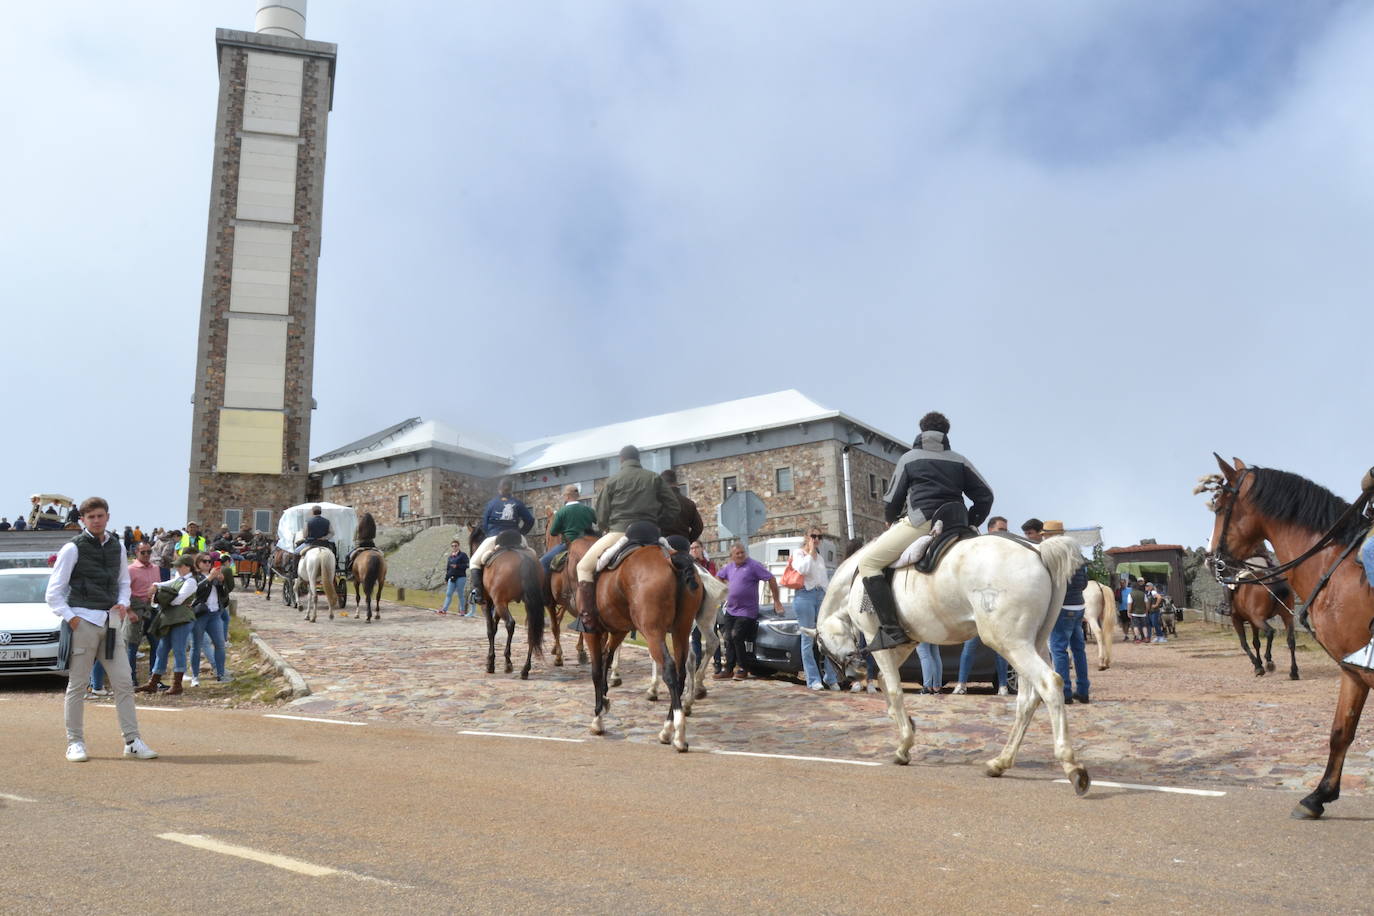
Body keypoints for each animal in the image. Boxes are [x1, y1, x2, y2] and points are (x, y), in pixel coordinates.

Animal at [472, 530, 546, 681]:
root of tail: (524, 559)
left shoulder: (489, 603)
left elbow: (490, 630)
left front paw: (490, 663)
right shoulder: (498, 605)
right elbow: (494, 628)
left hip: (500, 603)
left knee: (510, 624)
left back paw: (508, 663)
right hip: (529, 603)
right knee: (531, 630)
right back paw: (525, 669)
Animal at [566, 532, 697, 747]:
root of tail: (672, 559)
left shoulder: (592, 633)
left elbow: (596, 670)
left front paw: (598, 718)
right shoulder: (618, 631)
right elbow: (607, 658)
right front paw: (605, 699)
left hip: (653, 633)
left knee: (669, 669)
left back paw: (678, 733)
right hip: (681, 632)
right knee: (680, 673)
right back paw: (667, 729)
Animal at [802, 538, 1093, 796]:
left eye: (822, 648)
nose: (853, 673)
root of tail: (1038, 550)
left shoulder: (880, 641)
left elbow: (893, 688)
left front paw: (904, 744)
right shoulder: (906, 642)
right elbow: (886, 683)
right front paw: (905, 724)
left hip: (1011, 643)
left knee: (1049, 684)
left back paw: (1071, 766)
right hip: (1034, 643)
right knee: (1028, 700)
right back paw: (1001, 762)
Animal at [1203, 455, 1374, 818]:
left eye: (1220, 507)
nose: (1212, 560)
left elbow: (1250, 641)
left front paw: (1261, 665)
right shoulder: (1353, 671)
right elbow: (1341, 732)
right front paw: (1318, 796)